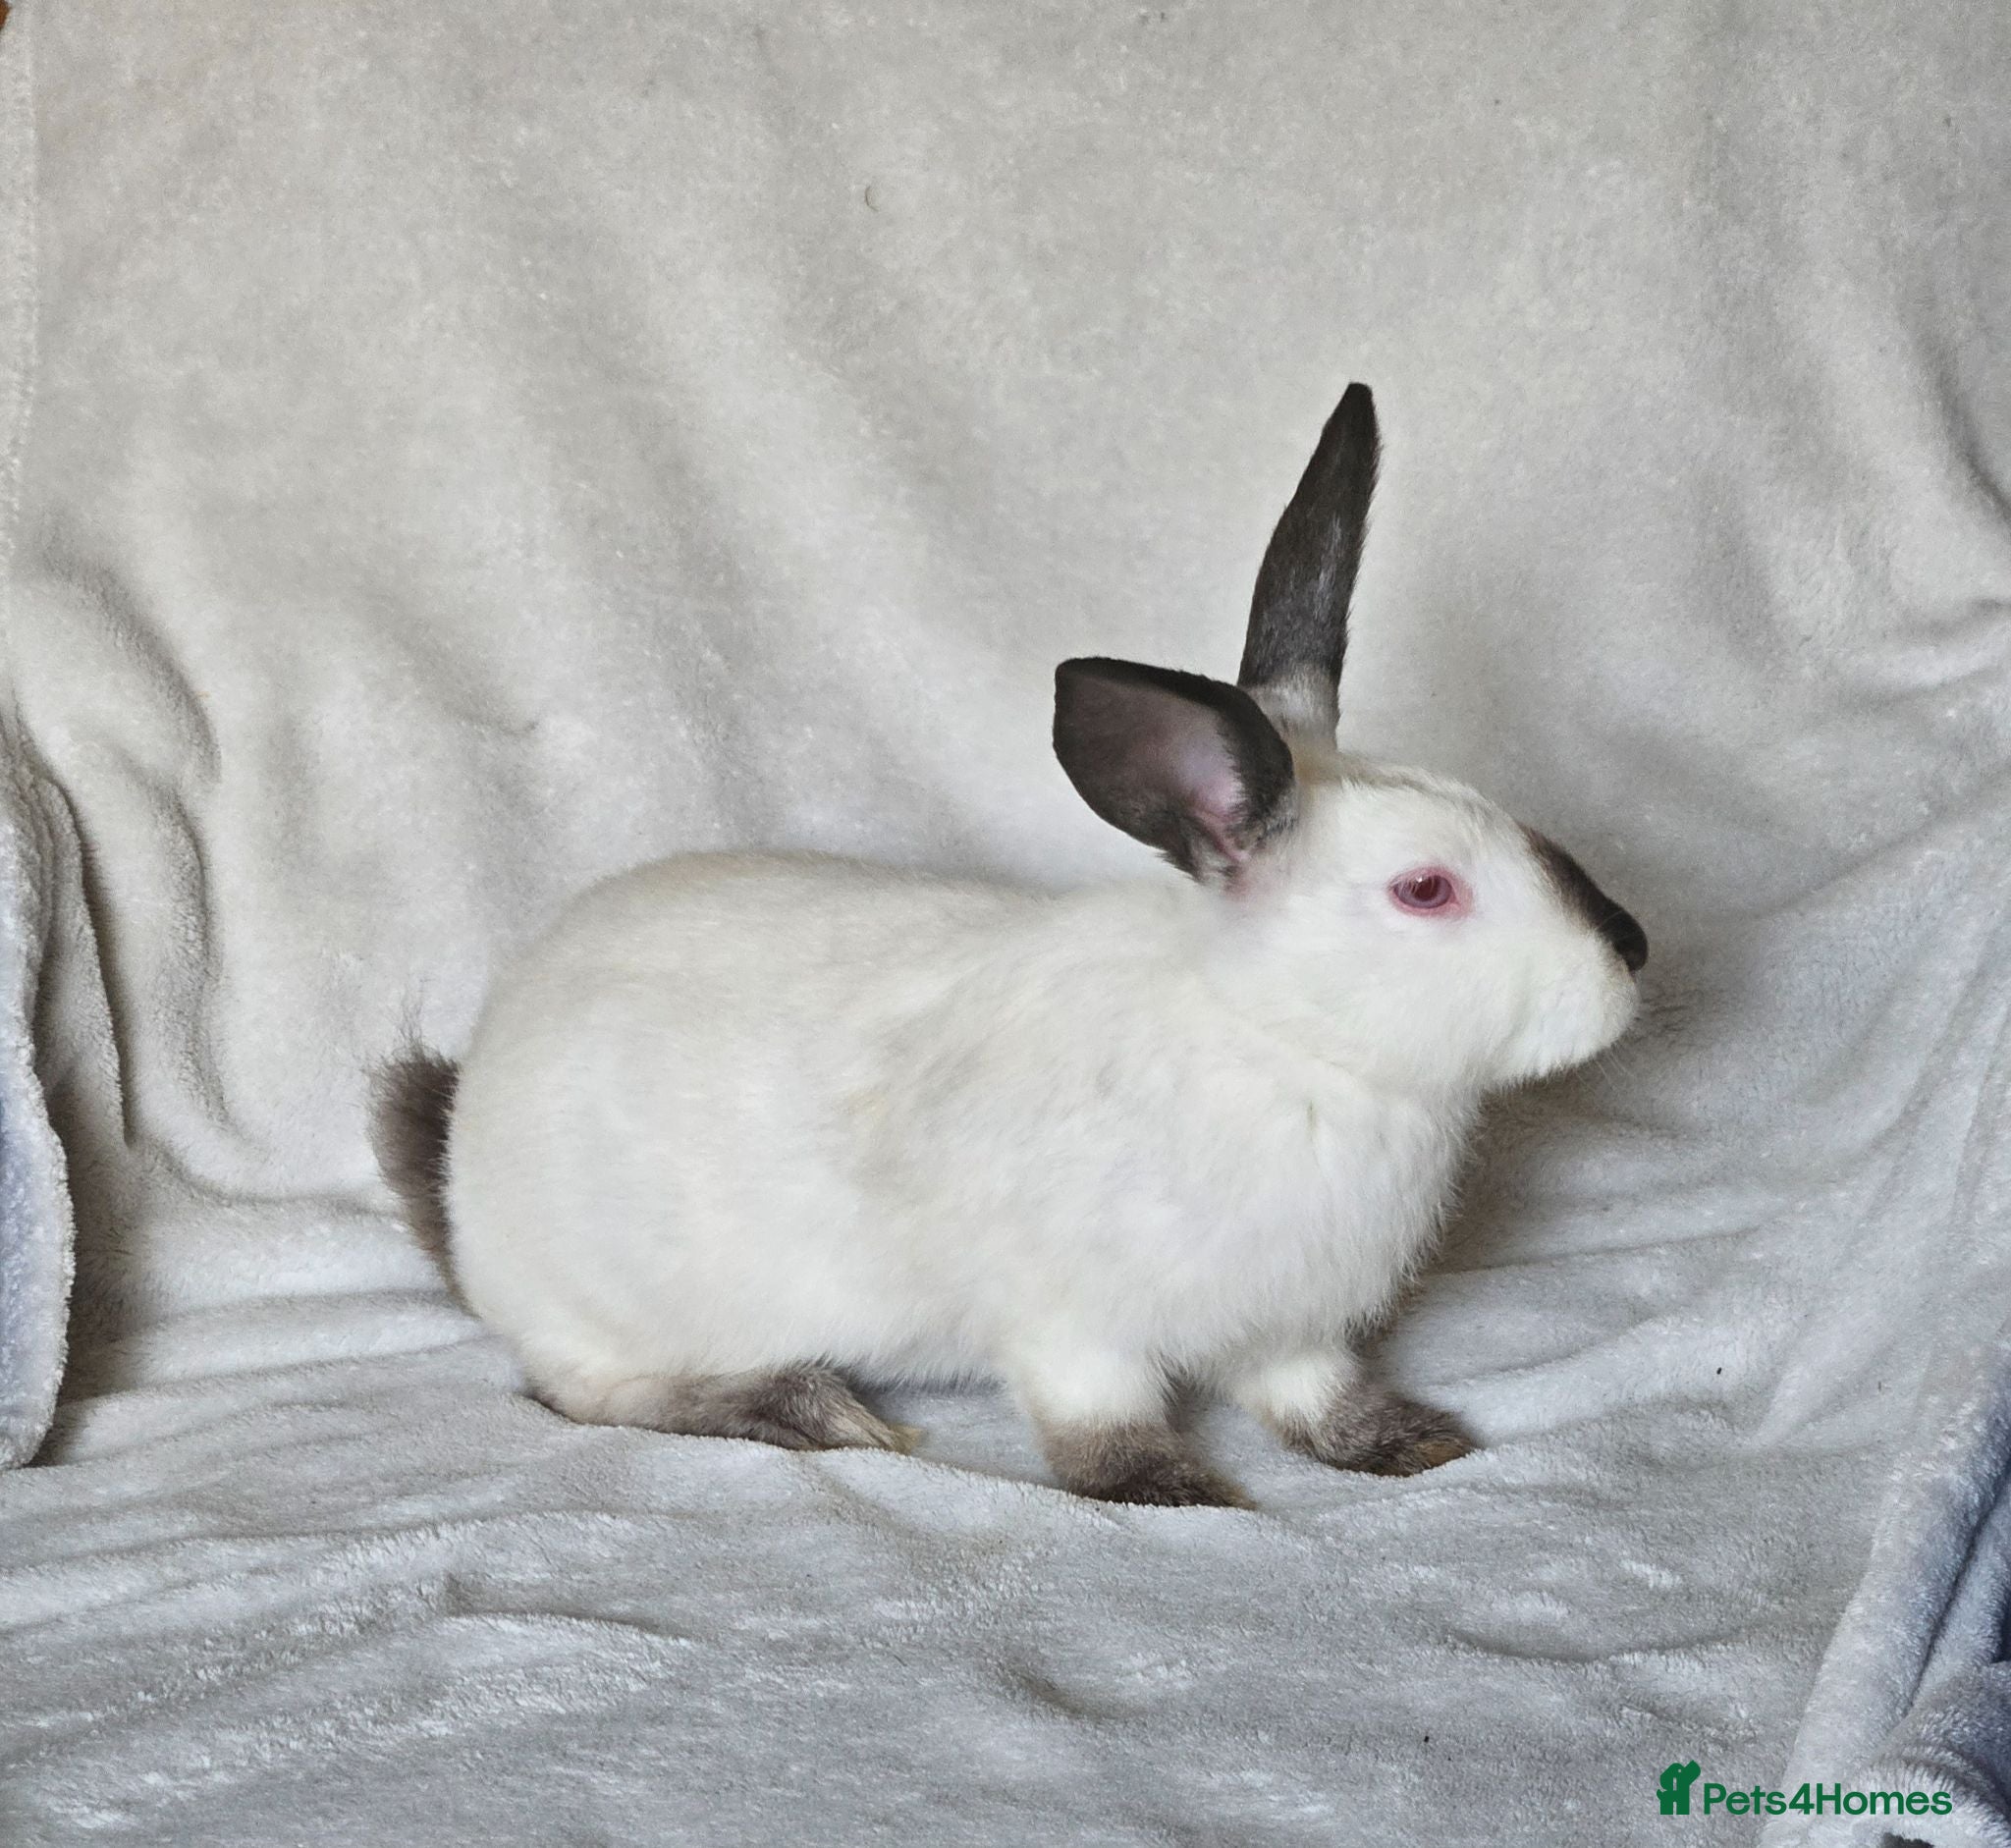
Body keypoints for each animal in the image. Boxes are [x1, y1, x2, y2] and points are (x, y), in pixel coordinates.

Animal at [374, 383, 1646, 1509]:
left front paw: (1406, 1442)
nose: (1627, 957)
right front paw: (1178, 1491)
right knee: (585, 1391)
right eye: (1425, 889)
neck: (1282, 1044)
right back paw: (802, 1405)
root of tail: (465, 1140)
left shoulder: (1288, 1324)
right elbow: (1098, 1423)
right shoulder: (1070, 1321)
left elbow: (1314, 1395)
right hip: (614, 1308)